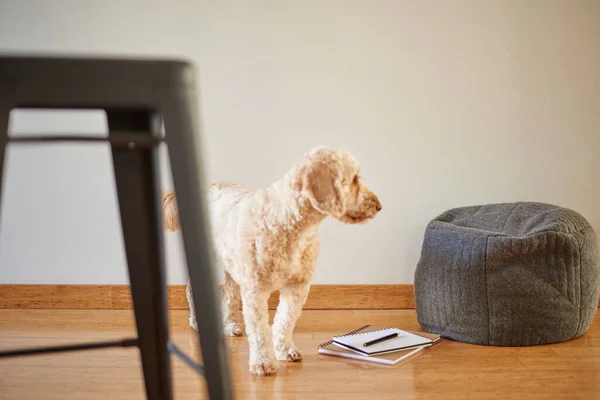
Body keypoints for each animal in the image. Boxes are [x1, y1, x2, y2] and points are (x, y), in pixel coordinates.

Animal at [162, 146, 382, 376]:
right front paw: (263, 362)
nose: (379, 206)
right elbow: (259, 330)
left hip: (231, 267)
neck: (290, 224)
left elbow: (285, 321)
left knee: (229, 297)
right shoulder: (255, 291)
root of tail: (210, 187)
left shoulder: (297, 287)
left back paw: (229, 324)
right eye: (353, 179)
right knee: (191, 289)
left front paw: (285, 350)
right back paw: (196, 321)